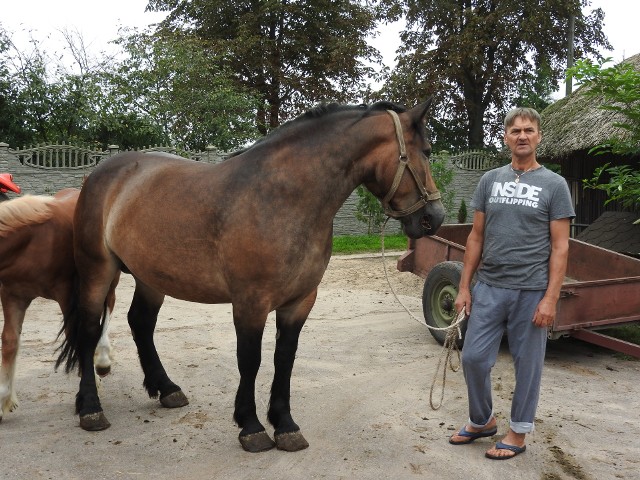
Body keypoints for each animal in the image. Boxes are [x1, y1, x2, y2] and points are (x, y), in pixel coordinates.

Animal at [0, 189, 117, 422]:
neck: (30, 242)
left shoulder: (66, 293)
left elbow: (76, 335)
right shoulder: (12, 296)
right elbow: (9, 342)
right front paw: (4, 401)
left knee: (109, 304)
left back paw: (102, 359)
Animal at [56, 99, 444, 452]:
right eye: (425, 152)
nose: (434, 218)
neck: (283, 199)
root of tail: (100, 173)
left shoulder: (300, 302)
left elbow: (284, 359)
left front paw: (285, 425)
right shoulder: (250, 303)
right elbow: (250, 360)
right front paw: (251, 427)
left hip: (151, 277)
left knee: (140, 323)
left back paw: (166, 389)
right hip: (98, 270)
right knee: (89, 330)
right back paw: (90, 409)